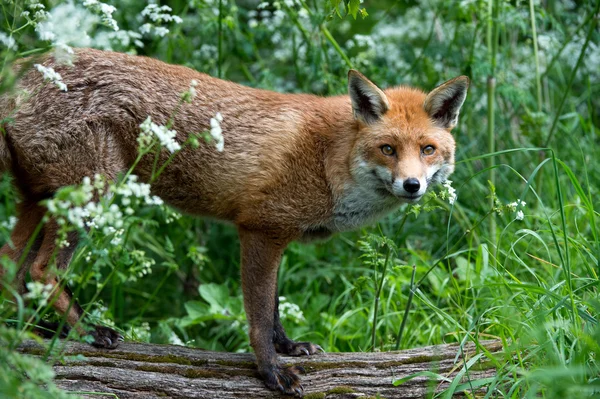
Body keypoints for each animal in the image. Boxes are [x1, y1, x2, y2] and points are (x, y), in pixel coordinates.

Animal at [0, 48, 468, 396]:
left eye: (427, 149)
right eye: (388, 149)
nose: (412, 185)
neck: (329, 158)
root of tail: (25, 69)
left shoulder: (277, 236)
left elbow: (274, 310)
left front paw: (289, 347)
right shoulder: (260, 230)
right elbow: (259, 316)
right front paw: (271, 371)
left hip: (40, 202)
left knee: (13, 269)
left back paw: (37, 330)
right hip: (89, 197)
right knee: (41, 270)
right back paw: (86, 331)